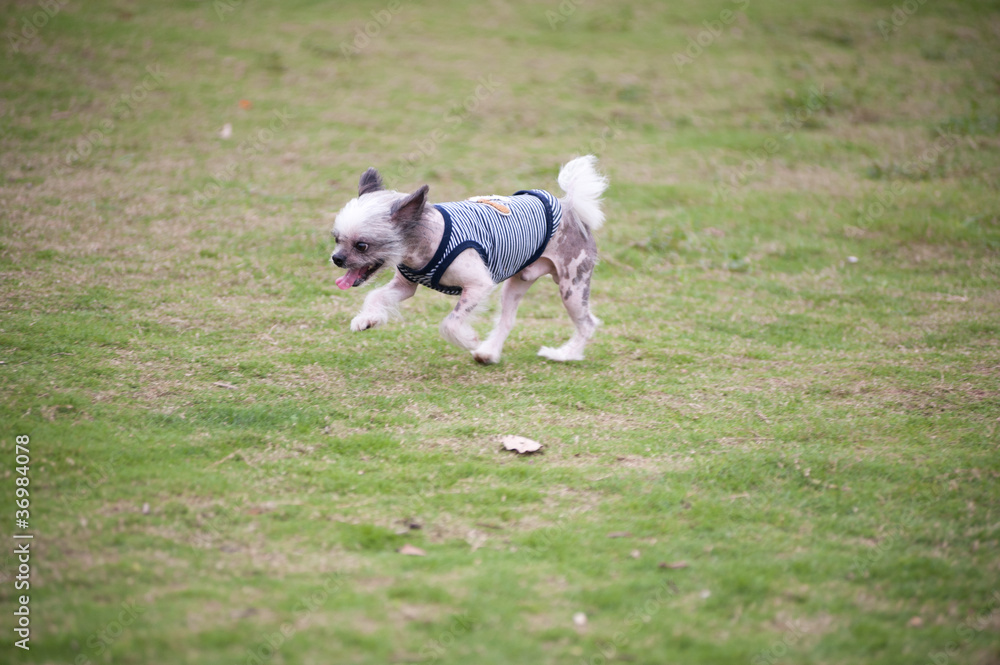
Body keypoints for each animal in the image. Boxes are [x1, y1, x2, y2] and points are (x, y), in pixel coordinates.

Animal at [332, 154, 604, 364]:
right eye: (336, 239)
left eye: (362, 245)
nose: (336, 259)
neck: (431, 238)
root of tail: (570, 207)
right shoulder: (405, 286)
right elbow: (374, 295)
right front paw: (367, 319)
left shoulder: (478, 285)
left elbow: (450, 323)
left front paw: (468, 340)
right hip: (515, 285)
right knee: (507, 321)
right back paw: (488, 353)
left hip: (572, 288)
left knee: (588, 324)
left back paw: (564, 355)